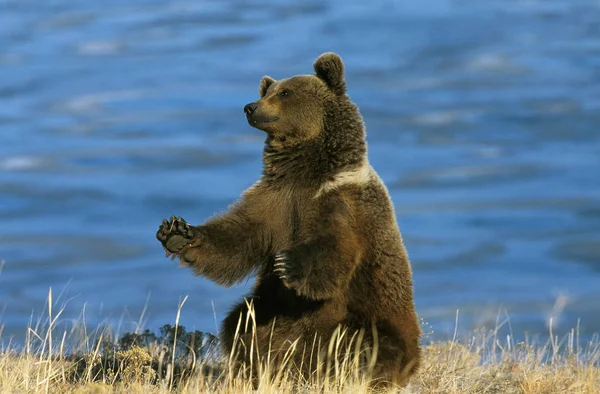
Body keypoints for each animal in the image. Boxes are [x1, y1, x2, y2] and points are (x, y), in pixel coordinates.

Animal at [157, 52, 424, 388]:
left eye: (285, 92)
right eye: (267, 91)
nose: (250, 107)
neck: (305, 175)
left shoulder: (342, 205)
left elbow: (336, 249)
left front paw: (289, 264)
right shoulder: (274, 204)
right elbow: (237, 238)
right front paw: (178, 233)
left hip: (373, 319)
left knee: (368, 343)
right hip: (273, 312)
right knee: (242, 324)